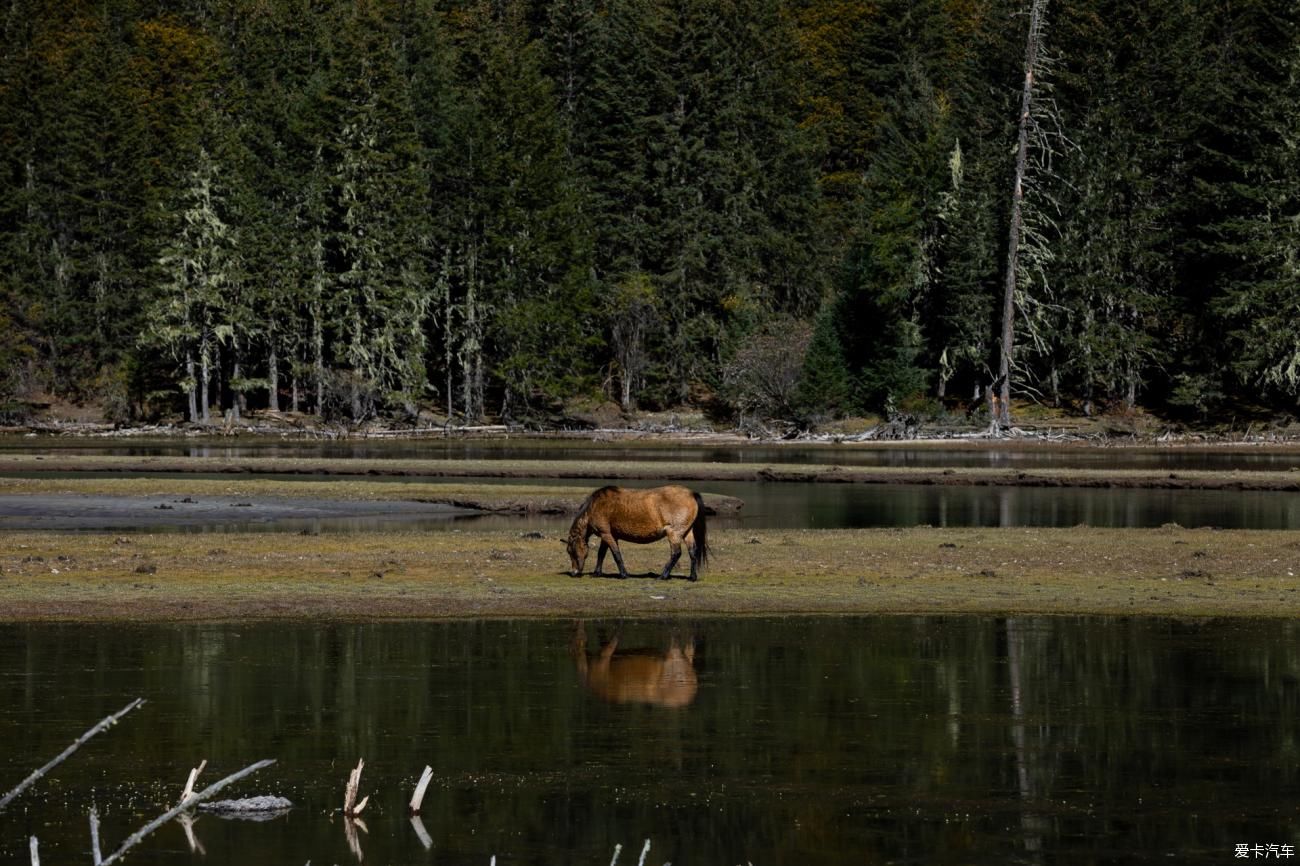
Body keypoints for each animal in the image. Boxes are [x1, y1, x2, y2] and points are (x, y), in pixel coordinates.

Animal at [569, 478, 712, 579]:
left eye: (571, 551)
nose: (574, 573)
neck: (595, 506)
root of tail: (691, 493)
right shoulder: (608, 535)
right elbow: (601, 554)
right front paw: (596, 573)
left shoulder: (606, 534)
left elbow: (616, 554)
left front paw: (624, 575)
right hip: (687, 532)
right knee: (693, 552)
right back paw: (692, 577)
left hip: (674, 533)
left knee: (676, 553)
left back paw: (663, 576)